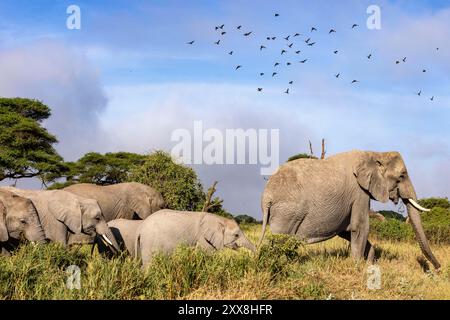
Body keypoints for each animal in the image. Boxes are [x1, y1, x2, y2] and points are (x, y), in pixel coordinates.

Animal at [258, 150, 442, 270]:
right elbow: (360, 227)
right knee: (280, 239)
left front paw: (369, 263)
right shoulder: (359, 192)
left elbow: (346, 230)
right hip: (287, 212)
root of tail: (266, 196)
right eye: (402, 176)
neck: (375, 153)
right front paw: (357, 266)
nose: (438, 269)